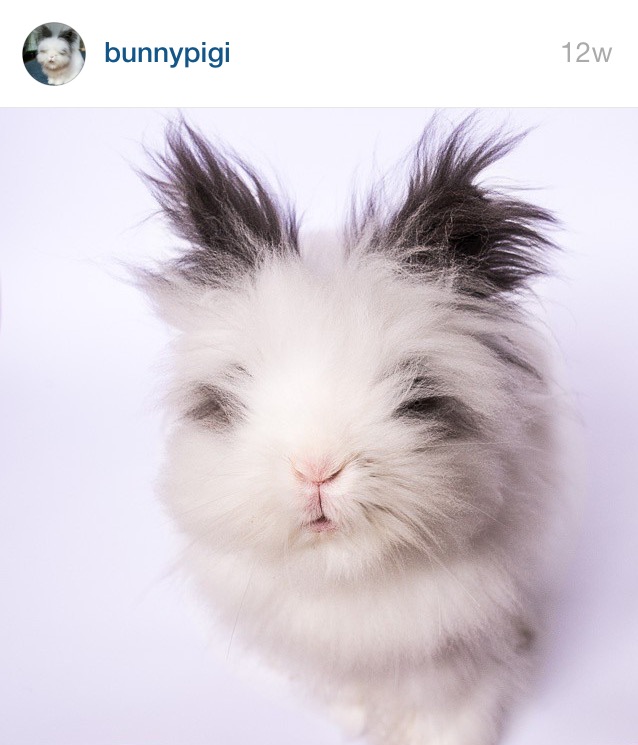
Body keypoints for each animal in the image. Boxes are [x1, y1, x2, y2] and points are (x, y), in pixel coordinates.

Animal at [138, 116, 575, 745]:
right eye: (234, 391)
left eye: (417, 396)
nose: (316, 469)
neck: (344, 577)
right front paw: (357, 718)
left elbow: (454, 700)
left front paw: (447, 736)